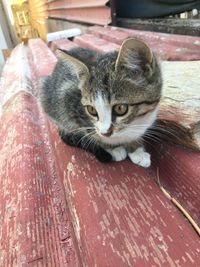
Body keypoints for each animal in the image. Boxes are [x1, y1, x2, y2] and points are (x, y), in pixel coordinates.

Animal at [39, 38, 162, 168]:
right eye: (91, 109)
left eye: (120, 108)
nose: (104, 133)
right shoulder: (69, 101)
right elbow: (90, 132)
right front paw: (112, 148)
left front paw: (136, 149)